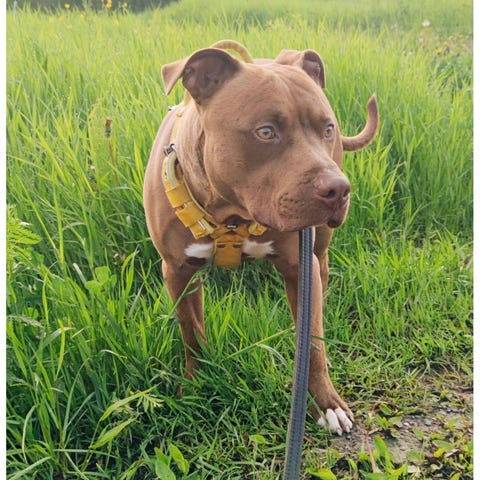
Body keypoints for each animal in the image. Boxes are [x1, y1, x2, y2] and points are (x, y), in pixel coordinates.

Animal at [143, 42, 378, 435]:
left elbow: (312, 343)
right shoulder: (177, 271)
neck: (232, 216)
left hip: (320, 243)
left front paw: (327, 404)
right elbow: (191, 332)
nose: (339, 189)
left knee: (322, 271)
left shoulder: (300, 268)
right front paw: (194, 384)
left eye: (327, 128)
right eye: (266, 132)